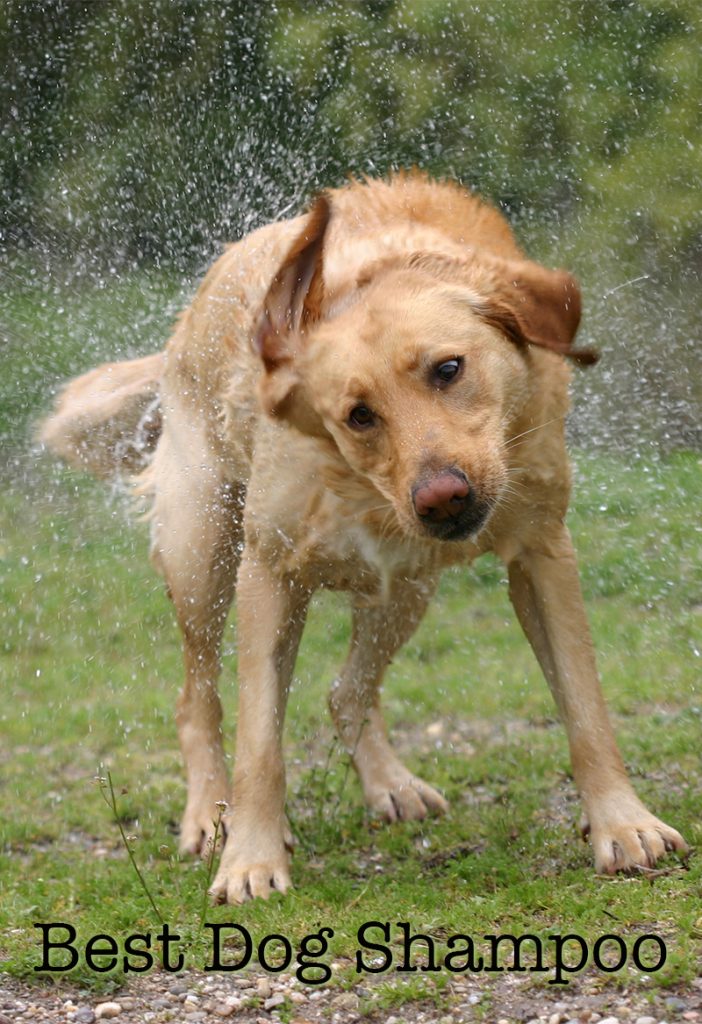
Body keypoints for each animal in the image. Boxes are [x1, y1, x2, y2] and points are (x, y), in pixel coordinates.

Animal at [41, 174, 691, 905]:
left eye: (448, 369)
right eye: (359, 415)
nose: (442, 497)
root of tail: (183, 328)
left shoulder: (542, 552)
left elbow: (585, 709)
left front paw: (622, 823)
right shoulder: (270, 572)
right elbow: (260, 743)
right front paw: (250, 859)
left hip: (406, 588)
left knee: (345, 692)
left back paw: (391, 785)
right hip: (202, 555)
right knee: (197, 699)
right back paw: (211, 814)